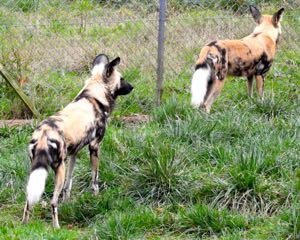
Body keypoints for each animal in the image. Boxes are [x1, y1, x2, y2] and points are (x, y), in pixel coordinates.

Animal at [21, 54, 133, 229]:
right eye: (122, 79)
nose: (132, 87)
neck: (94, 95)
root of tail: (44, 134)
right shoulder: (95, 147)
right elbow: (94, 179)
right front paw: (96, 197)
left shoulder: (74, 153)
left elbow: (69, 184)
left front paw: (67, 203)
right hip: (58, 168)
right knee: (53, 202)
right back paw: (56, 227)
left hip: (36, 168)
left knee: (28, 200)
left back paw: (25, 225)